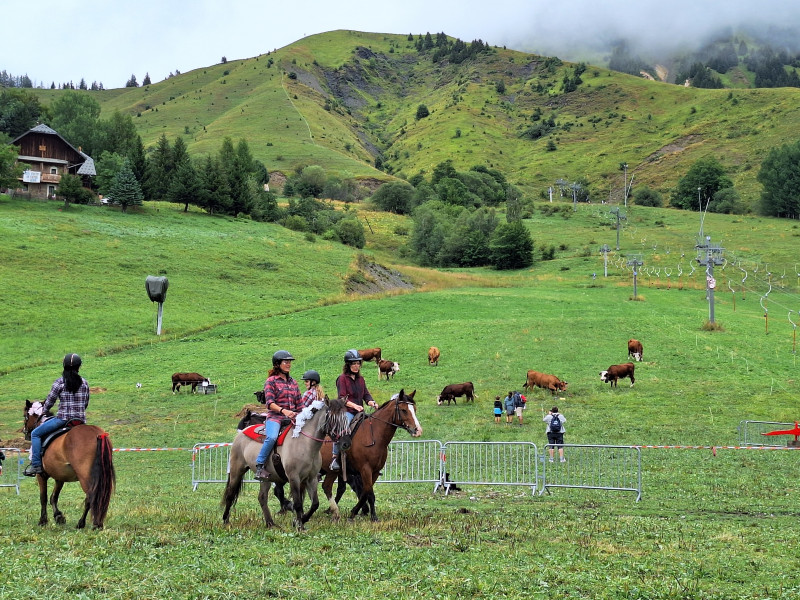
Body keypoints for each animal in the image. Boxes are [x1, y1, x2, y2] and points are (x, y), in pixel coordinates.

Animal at [22, 401, 116, 529]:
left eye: (25, 415)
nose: (25, 432)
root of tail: (97, 434)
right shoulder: (60, 477)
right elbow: (53, 497)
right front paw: (58, 516)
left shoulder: (41, 475)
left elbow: (43, 498)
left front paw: (43, 521)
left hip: (85, 477)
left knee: (91, 497)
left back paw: (84, 523)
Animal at [222, 397, 348, 530]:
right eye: (333, 419)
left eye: (345, 418)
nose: (346, 442)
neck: (305, 443)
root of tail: (240, 434)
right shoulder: (294, 478)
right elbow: (297, 503)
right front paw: (299, 524)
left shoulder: (312, 478)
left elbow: (315, 504)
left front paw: (302, 519)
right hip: (237, 470)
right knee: (230, 494)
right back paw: (226, 521)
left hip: (266, 478)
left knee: (262, 497)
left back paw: (270, 523)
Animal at [319, 389, 422, 521]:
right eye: (404, 410)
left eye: (414, 409)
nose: (418, 430)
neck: (374, 437)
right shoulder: (365, 470)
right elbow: (369, 493)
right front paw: (370, 515)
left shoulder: (375, 472)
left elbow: (366, 492)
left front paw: (357, 512)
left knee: (335, 488)